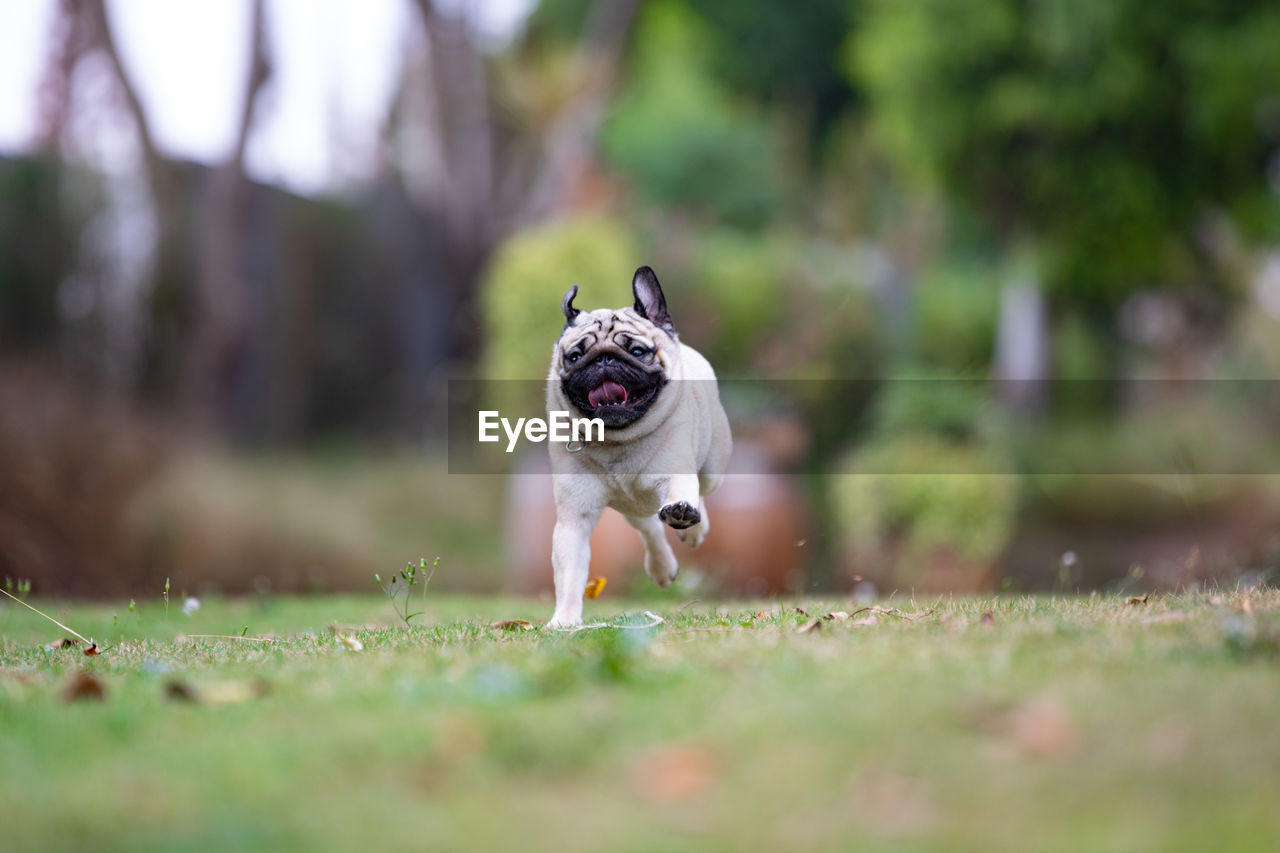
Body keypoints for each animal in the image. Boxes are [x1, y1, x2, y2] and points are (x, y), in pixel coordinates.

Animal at [545, 266, 737, 625]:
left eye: (636, 351)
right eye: (575, 357)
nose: (603, 360)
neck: (618, 439)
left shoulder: (676, 474)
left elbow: (683, 492)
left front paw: (685, 515)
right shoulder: (574, 519)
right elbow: (569, 574)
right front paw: (564, 621)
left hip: (713, 467)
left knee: (700, 491)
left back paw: (693, 529)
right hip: (632, 507)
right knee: (648, 528)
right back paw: (662, 567)